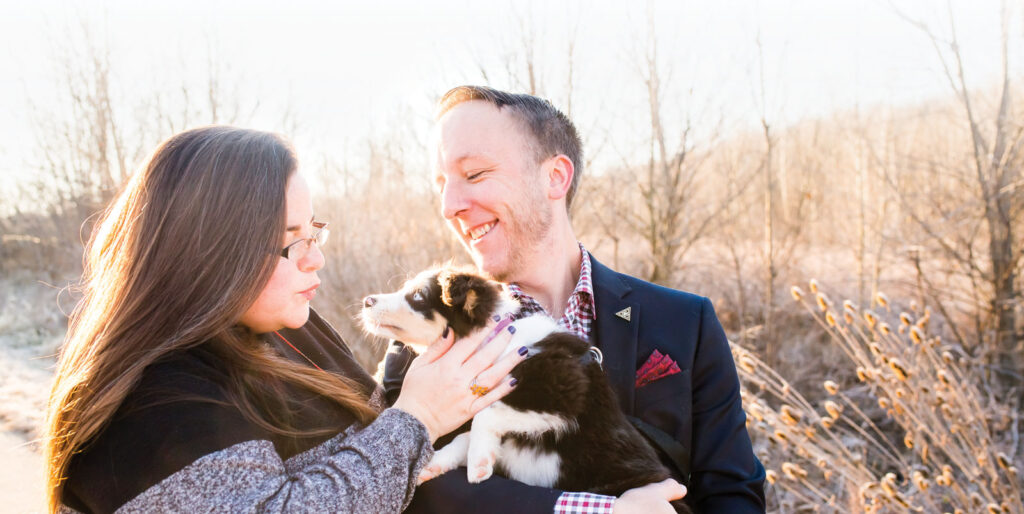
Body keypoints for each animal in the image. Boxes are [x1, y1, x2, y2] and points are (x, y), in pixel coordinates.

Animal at [360, 268, 688, 505]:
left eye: (417, 296)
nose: (366, 301)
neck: (492, 340)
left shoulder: (560, 388)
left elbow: (486, 414)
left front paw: (476, 461)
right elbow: (468, 434)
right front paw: (437, 463)